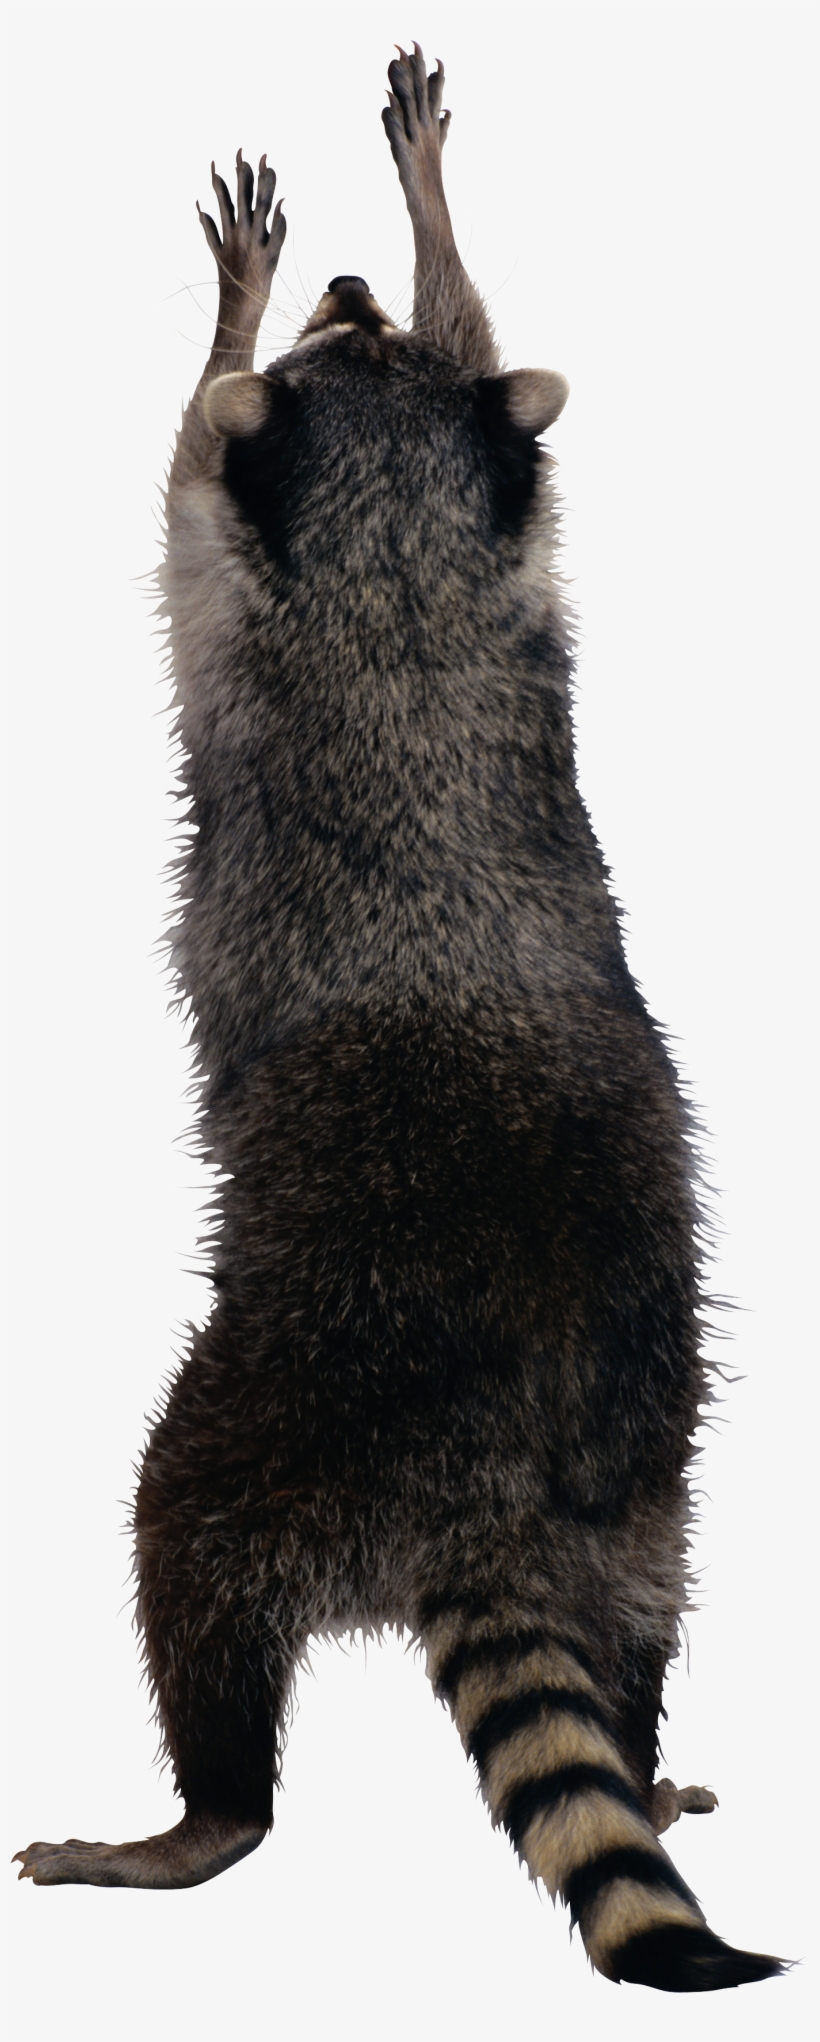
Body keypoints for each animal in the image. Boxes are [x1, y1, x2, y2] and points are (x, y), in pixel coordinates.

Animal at [14, 43, 781, 1994]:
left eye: (332, 345)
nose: (353, 282)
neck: (403, 557)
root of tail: (493, 1475)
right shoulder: (517, 562)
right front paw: (427, 232)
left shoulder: (230, 577)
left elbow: (176, 455)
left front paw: (253, 292)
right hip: (647, 1469)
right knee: (638, 1620)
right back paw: (639, 1752)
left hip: (290, 1397)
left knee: (185, 1543)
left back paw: (202, 1813)